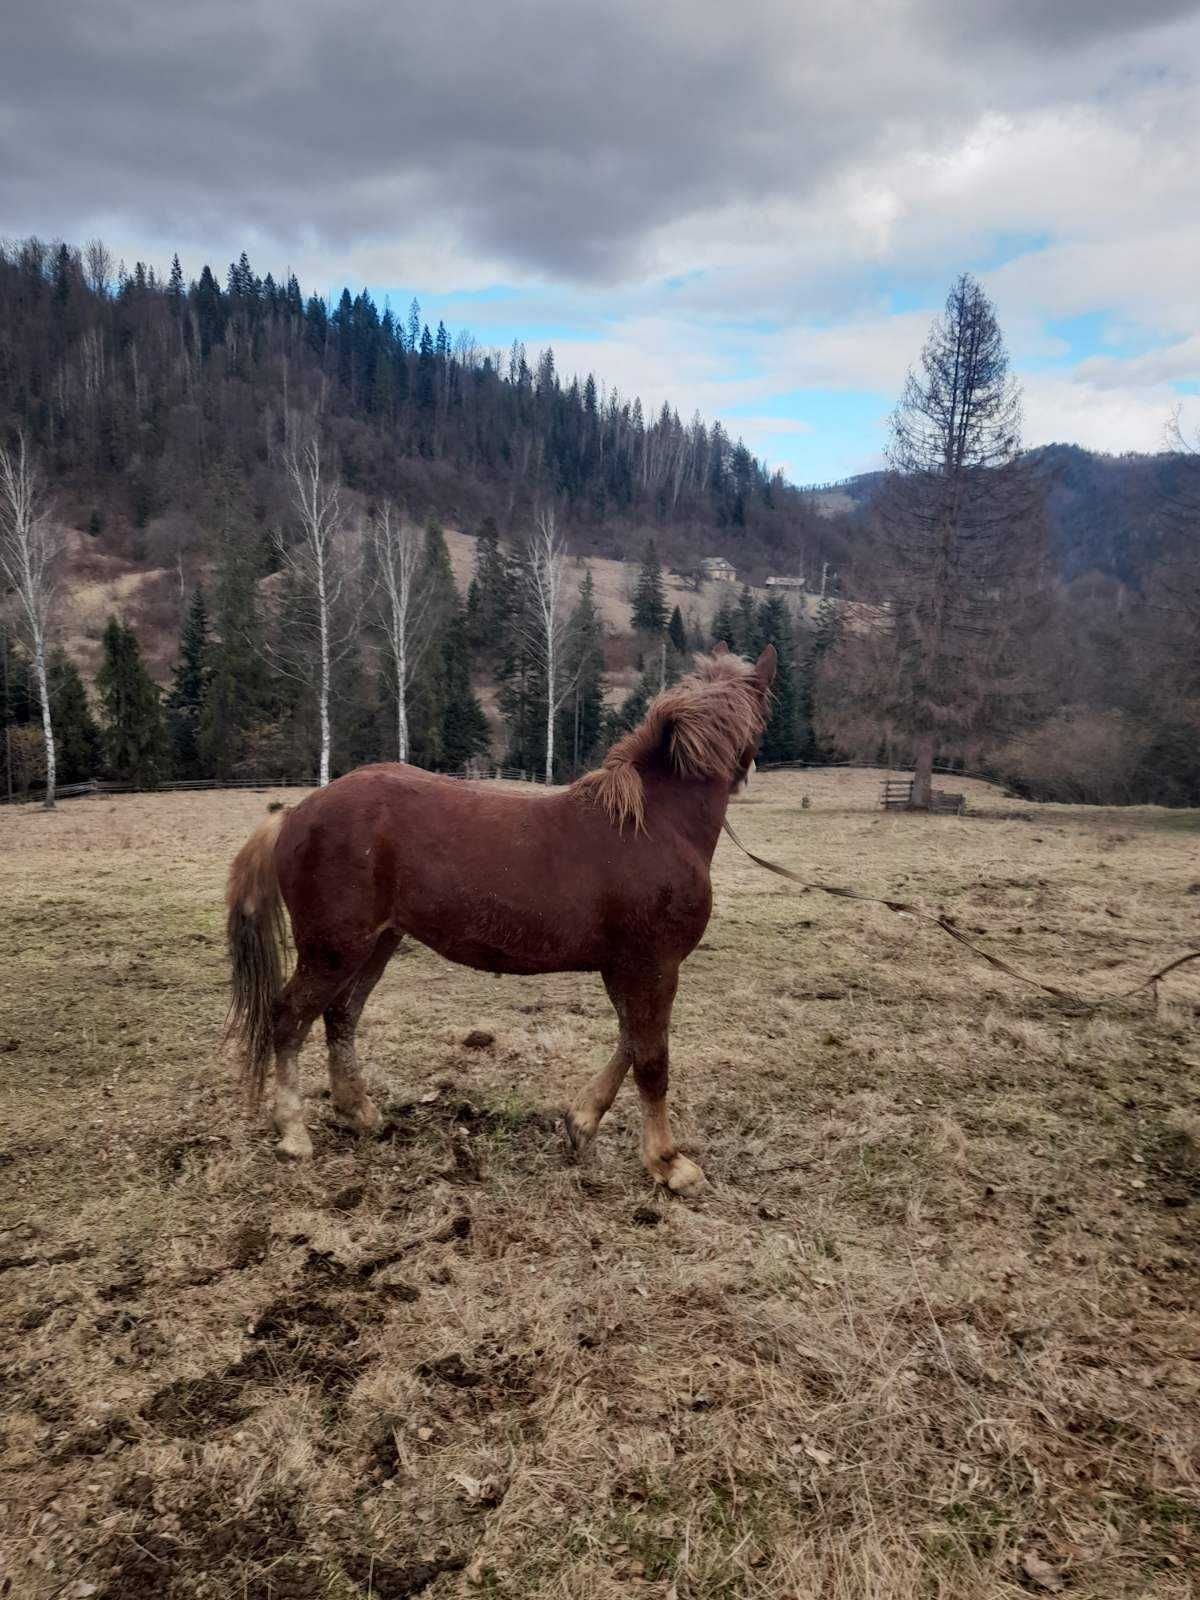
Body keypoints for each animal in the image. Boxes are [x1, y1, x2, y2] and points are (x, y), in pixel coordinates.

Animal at [224, 643, 780, 1196]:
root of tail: (294, 813)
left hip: (374, 945)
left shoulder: (629, 967)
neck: (655, 827)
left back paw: (359, 1113)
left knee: (341, 1016)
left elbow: (631, 1040)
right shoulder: (654, 965)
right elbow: (651, 1058)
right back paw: (293, 1132)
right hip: (333, 949)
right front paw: (668, 1162)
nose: (751, 772)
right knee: (289, 1018)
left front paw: (582, 1122)